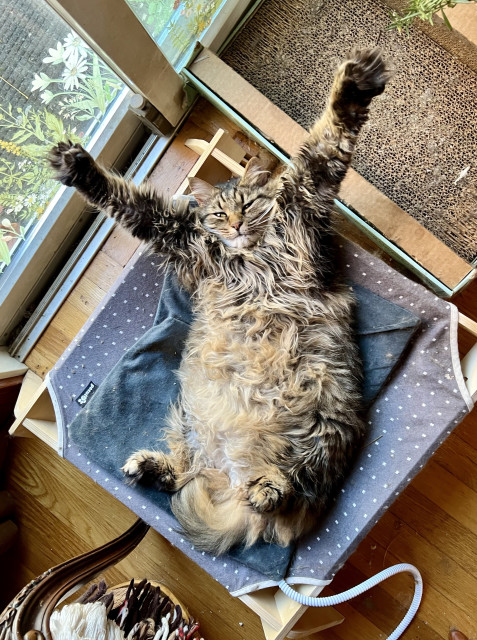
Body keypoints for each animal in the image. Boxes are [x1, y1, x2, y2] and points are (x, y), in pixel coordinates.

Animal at [49, 48, 390, 556]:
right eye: (218, 213)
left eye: (246, 205)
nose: (234, 225)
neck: (249, 255)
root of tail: (233, 476)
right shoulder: (184, 239)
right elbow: (126, 198)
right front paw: (77, 166)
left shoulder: (305, 199)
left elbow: (328, 138)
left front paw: (356, 81)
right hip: (190, 426)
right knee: (183, 478)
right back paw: (150, 467)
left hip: (323, 429)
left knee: (286, 490)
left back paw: (264, 490)